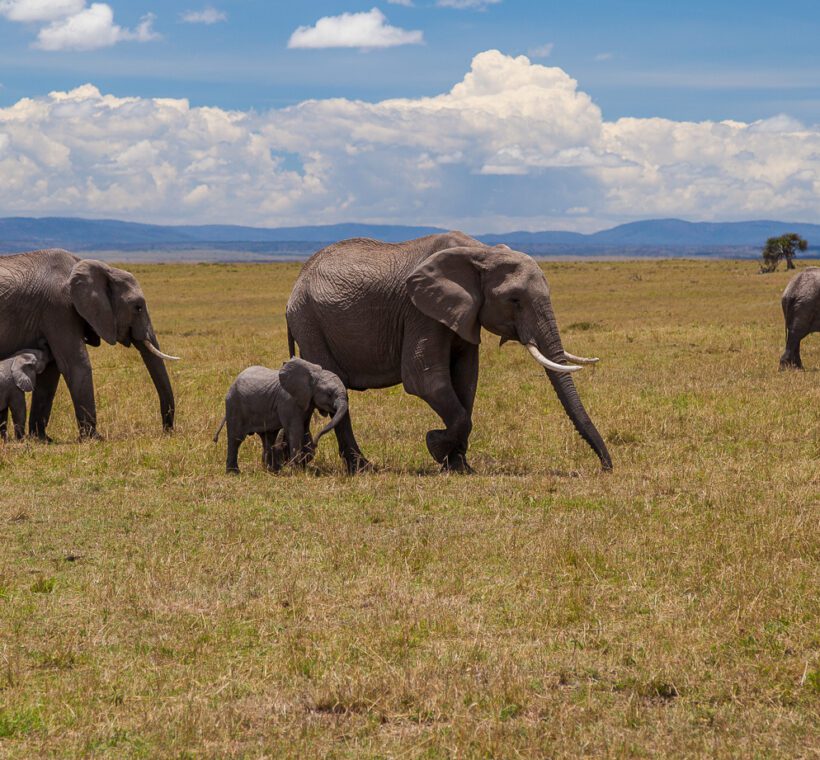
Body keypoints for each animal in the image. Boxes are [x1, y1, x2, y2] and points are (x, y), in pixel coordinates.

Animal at [0, 249, 179, 440]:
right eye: (138, 307)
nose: (167, 431)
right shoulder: (58, 308)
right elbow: (76, 364)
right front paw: (95, 438)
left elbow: (51, 373)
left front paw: (42, 439)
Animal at [213, 358, 348, 476]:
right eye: (329, 394)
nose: (316, 443)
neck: (314, 374)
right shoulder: (288, 401)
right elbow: (295, 430)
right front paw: (297, 472)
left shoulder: (307, 402)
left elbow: (304, 429)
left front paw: (302, 465)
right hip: (234, 404)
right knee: (236, 438)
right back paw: (233, 473)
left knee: (268, 437)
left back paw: (273, 471)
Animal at [286, 230, 612, 476]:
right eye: (514, 300)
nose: (605, 467)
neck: (481, 253)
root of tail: (297, 282)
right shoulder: (419, 310)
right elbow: (423, 378)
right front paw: (435, 445)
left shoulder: (464, 313)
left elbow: (466, 380)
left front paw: (459, 465)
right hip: (310, 321)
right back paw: (361, 467)